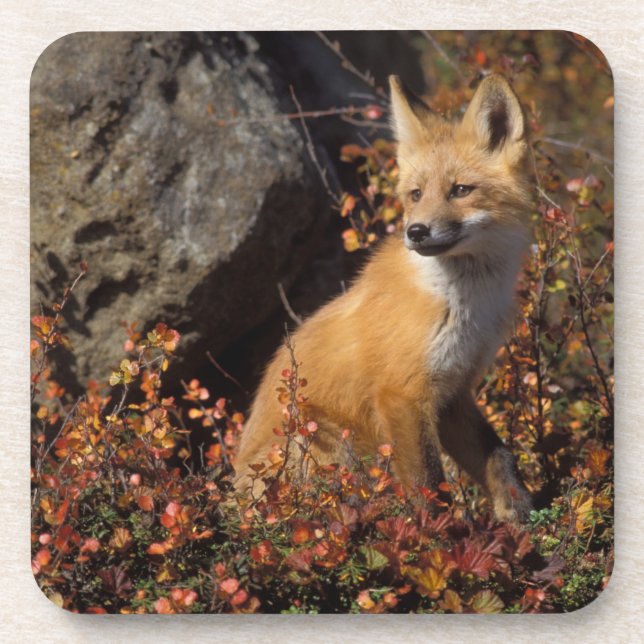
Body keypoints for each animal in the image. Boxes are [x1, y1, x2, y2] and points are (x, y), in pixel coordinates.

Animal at [234, 73, 534, 522]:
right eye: (415, 194)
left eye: (461, 190)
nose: (416, 232)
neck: (464, 305)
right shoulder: (402, 394)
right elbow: (430, 487)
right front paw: (444, 534)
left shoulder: (454, 392)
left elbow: (499, 456)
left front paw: (521, 515)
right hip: (325, 440)